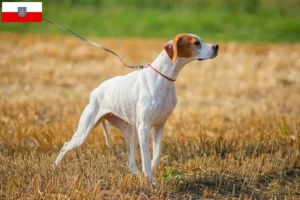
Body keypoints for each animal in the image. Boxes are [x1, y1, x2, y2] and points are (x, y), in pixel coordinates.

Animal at [54, 33, 218, 184]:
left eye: (202, 40)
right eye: (196, 43)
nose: (216, 46)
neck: (163, 78)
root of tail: (95, 91)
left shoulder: (159, 126)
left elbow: (156, 155)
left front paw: (151, 175)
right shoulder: (144, 127)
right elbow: (146, 157)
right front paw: (151, 180)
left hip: (130, 132)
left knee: (131, 163)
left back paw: (138, 177)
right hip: (85, 132)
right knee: (65, 146)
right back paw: (54, 168)